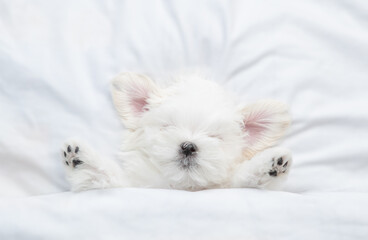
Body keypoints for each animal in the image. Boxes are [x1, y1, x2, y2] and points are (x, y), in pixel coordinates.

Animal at [61, 72, 292, 191]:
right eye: (167, 127)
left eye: (215, 137)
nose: (188, 146)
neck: (180, 185)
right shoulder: (130, 185)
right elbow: (103, 174)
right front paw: (81, 159)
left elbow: (247, 176)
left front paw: (271, 165)